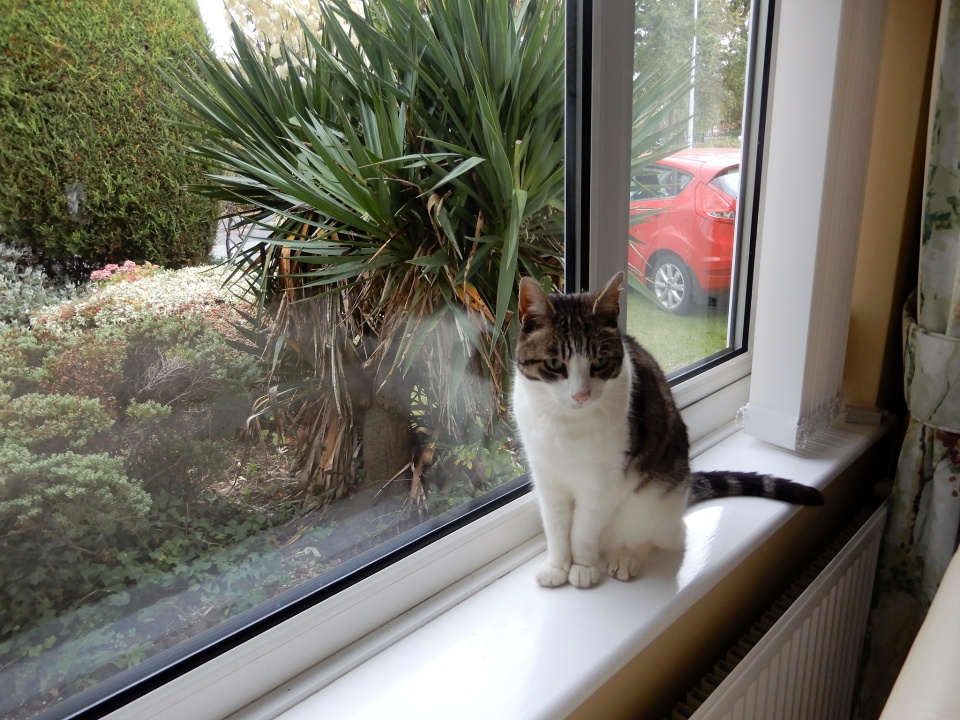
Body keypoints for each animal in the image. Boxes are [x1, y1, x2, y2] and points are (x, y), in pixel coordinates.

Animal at [511, 271, 823, 589]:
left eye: (599, 361)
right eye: (554, 363)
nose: (581, 395)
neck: (565, 423)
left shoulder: (601, 484)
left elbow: (582, 531)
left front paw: (583, 566)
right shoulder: (546, 477)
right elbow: (556, 526)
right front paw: (557, 565)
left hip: (655, 499)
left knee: (665, 536)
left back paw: (626, 556)